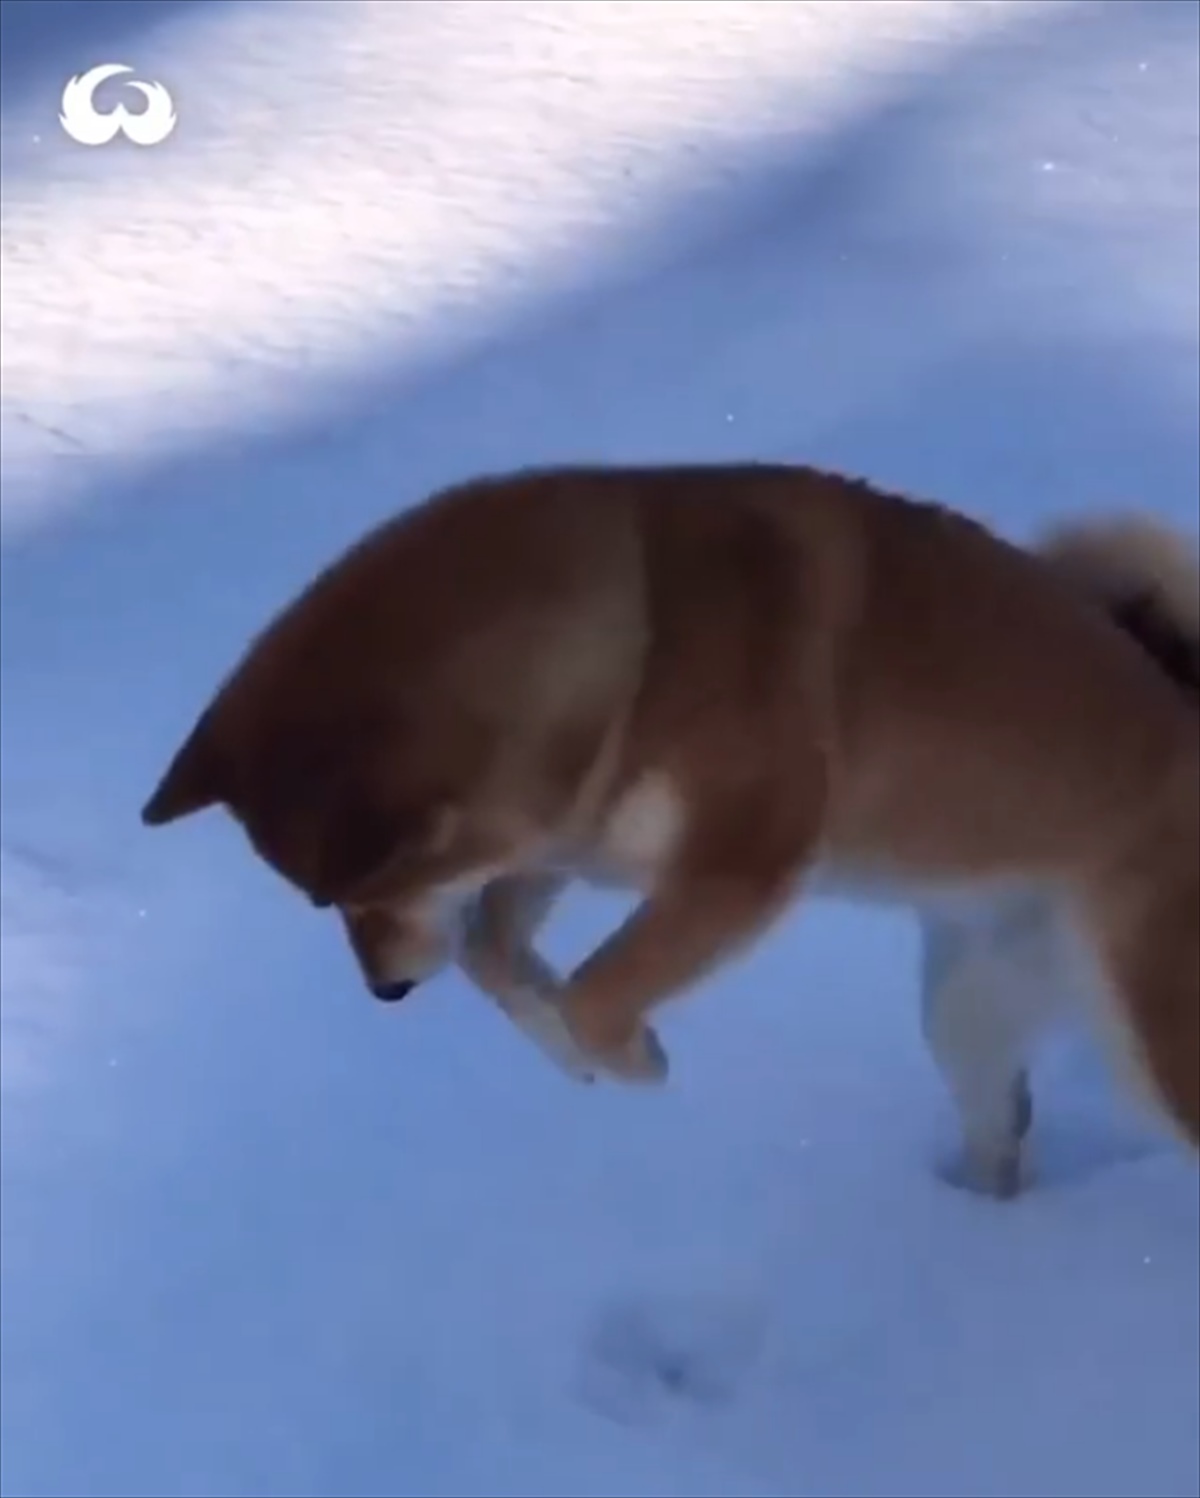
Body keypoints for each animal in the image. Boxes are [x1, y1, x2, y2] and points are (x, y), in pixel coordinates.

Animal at [143, 461, 1198, 1198]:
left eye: (355, 896)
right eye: (322, 904)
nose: (384, 993)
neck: (647, 639)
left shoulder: (744, 860)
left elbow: (597, 989)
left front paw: (631, 1059)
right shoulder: (568, 831)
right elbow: (494, 952)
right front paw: (567, 1052)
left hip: (1155, 1044)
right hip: (967, 1013)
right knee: (1002, 1131)